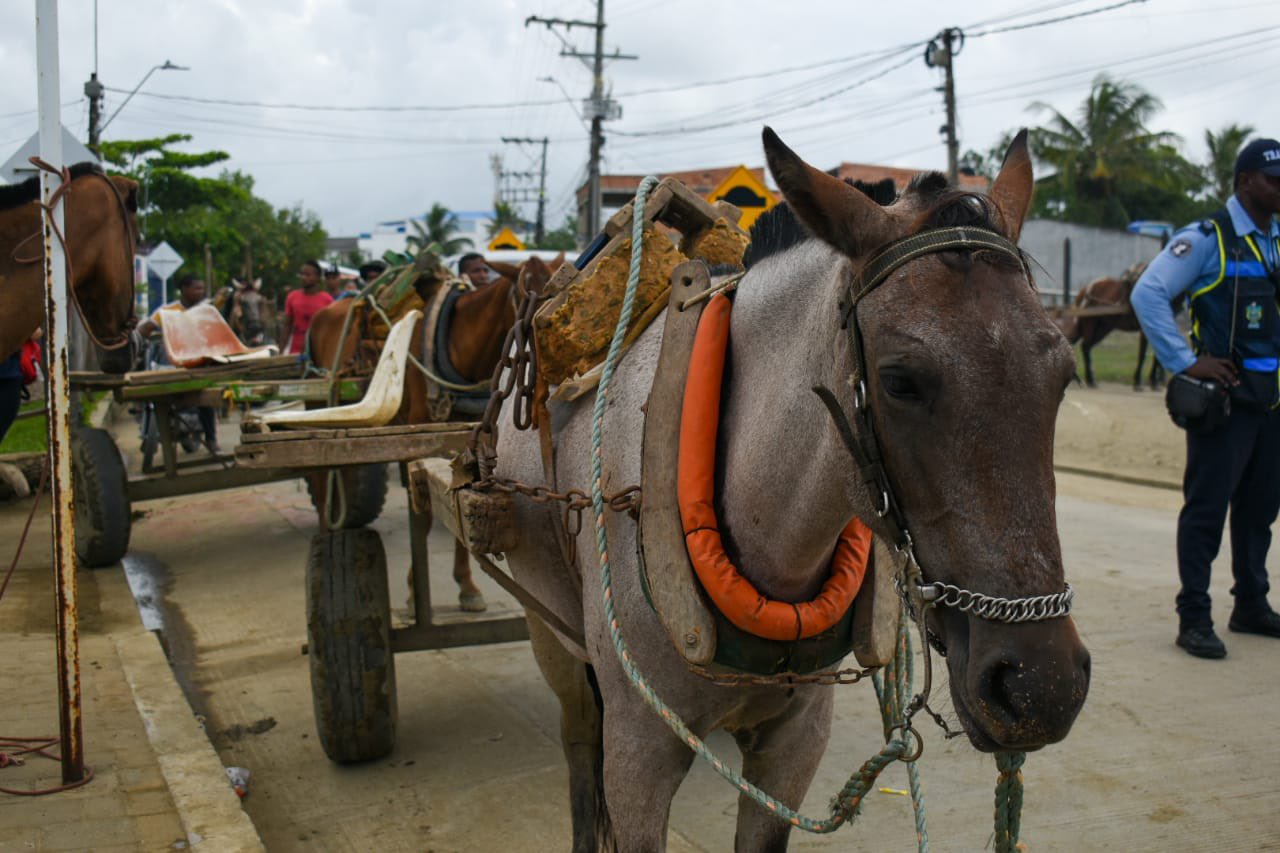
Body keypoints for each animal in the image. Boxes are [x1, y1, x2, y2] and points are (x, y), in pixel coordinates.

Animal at [307, 255, 561, 612]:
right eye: (528, 296)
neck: (456, 344)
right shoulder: (419, 431)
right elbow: (425, 515)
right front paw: (415, 591)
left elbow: (458, 498)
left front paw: (467, 586)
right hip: (319, 400)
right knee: (319, 477)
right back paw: (326, 534)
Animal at [494, 128, 1090, 850]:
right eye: (899, 380)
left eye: (1062, 374)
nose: (1041, 686)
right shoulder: (640, 751)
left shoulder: (795, 744)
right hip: (551, 630)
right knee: (580, 748)